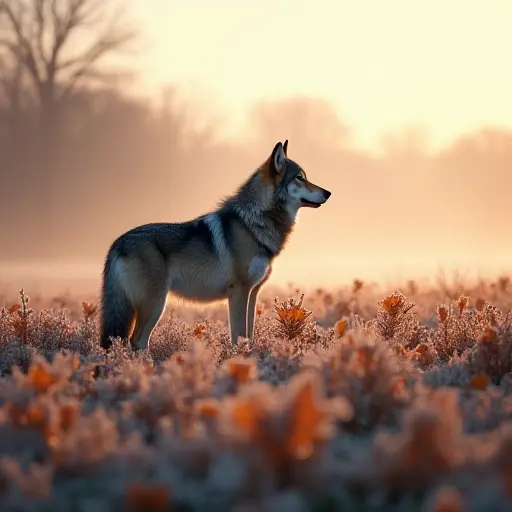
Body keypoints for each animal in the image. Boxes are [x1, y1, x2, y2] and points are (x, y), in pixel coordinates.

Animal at [100, 141, 332, 352]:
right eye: (300, 178)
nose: (328, 192)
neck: (253, 223)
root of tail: (117, 243)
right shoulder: (238, 291)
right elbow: (238, 336)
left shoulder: (252, 293)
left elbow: (248, 335)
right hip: (155, 304)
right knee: (136, 341)